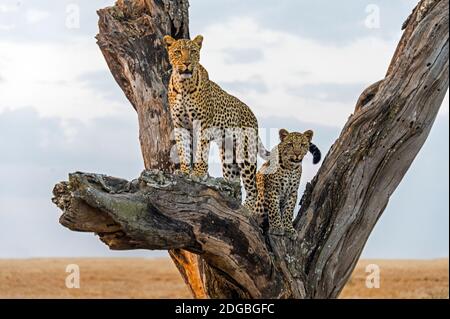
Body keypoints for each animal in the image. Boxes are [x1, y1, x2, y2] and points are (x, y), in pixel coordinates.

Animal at [163, 35, 268, 210]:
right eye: (177, 52)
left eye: (193, 51)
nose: (187, 63)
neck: (183, 85)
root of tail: (253, 116)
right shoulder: (180, 126)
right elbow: (184, 150)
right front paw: (184, 171)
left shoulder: (202, 124)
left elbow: (201, 152)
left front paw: (198, 174)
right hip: (228, 156)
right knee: (235, 183)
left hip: (245, 153)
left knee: (253, 188)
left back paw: (247, 209)